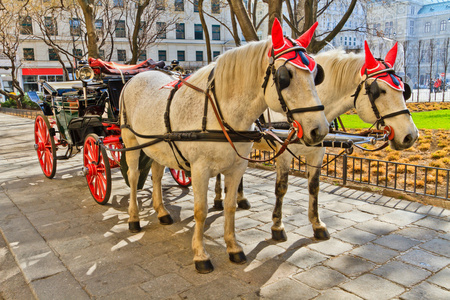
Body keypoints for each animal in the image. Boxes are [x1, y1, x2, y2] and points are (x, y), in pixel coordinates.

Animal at [120, 19, 330, 274]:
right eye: (284, 76)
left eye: (317, 75)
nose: (320, 130)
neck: (221, 113)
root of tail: (137, 75)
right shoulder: (199, 169)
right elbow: (200, 211)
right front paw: (200, 254)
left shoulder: (237, 167)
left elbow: (230, 206)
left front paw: (233, 247)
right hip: (130, 141)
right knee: (133, 178)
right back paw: (133, 219)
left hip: (159, 146)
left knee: (157, 175)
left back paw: (161, 212)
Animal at [214, 41, 418, 241]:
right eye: (379, 91)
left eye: (404, 90)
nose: (411, 135)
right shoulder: (284, 153)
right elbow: (281, 188)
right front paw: (277, 226)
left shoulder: (318, 152)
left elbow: (314, 187)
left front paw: (317, 224)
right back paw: (218, 199)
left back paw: (240, 198)